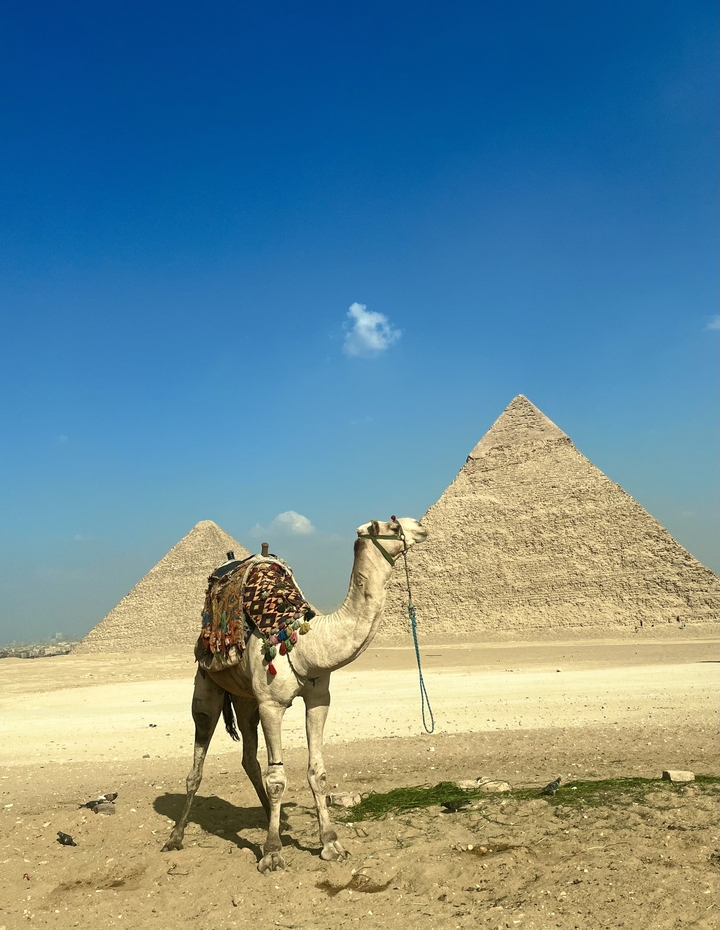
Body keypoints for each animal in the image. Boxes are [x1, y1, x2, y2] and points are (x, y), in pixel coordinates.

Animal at [162, 516, 428, 873]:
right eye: (388, 524)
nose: (421, 526)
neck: (304, 642)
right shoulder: (272, 705)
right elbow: (277, 778)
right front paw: (273, 853)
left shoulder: (318, 699)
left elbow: (318, 773)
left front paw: (331, 843)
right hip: (208, 686)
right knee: (198, 763)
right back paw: (176, 836)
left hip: (246, 699)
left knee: (248, 756)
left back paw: (269, 820)